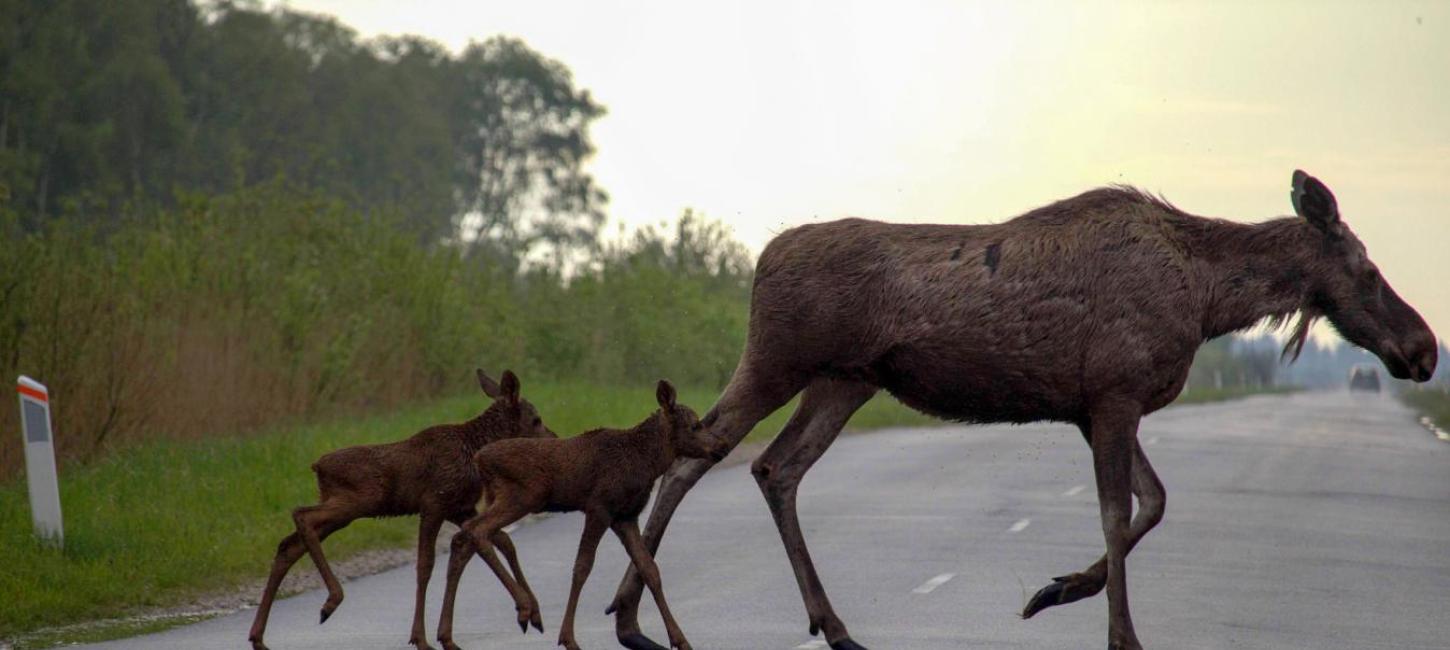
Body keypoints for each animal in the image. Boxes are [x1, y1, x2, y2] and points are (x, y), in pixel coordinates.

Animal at [246, 368, 551, 647]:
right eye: (536, 419)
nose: (552, 437)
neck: (473, 452)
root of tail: (316, 467)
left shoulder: (461, 508)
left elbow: (503, 540)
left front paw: (532, 612)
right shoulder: (434, 504)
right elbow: (425, 565)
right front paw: (421, 638)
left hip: (340, 509)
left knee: (289, 544)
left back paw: (258, 636)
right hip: (354, 502)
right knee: (301, 515)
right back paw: (331, 600)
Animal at [432, 380, 722, 650]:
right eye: (695, 425)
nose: (720, 446)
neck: (647, 463)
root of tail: (479, 459)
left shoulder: (625, 516)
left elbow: (649, 569)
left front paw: (681, 639)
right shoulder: (599, 507)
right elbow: (582, 566)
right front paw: (568, 638)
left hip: (497, 499)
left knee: (464, 537)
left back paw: (450, 634)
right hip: (521, 497)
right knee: (476, 531)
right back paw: (525, 609)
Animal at [603, 169, 1438, 647]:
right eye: (1367, 270)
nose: (1425, 348)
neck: (1207, 300)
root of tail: (760, 260)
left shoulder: (1098, 406)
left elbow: (1154, 503)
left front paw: (1056, 589)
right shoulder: (1114, 396)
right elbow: (1119, 512)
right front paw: (1119, 634)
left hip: (845, 381)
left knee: (773, 468)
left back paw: (828, 626)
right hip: (780, 361)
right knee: (698, 456)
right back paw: (634, 619)